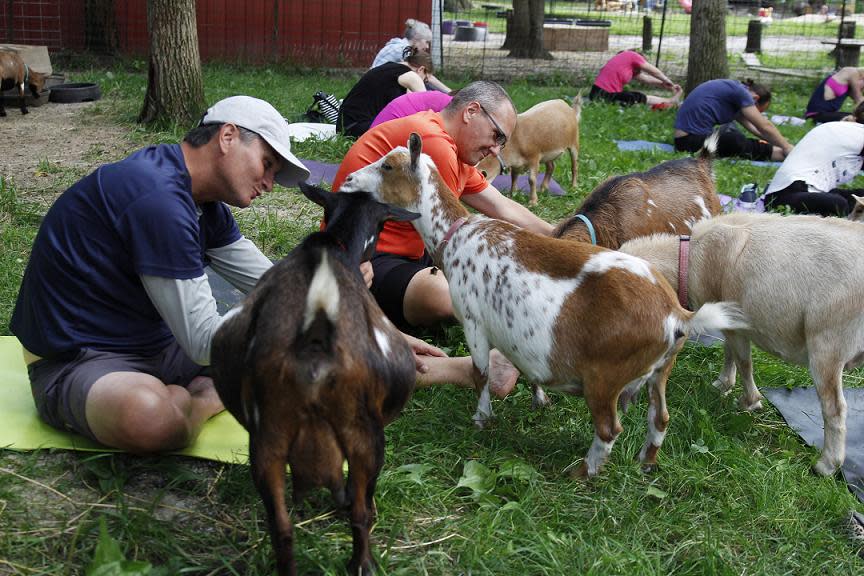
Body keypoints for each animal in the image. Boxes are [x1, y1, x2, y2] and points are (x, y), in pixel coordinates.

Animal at [213, 182, 422, 572]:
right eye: (382, 228)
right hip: (364, 434)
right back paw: (363, 562)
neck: (335, 245)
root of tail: (315, 337)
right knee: (359, 512)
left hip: (266, 441)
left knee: (281, 528)